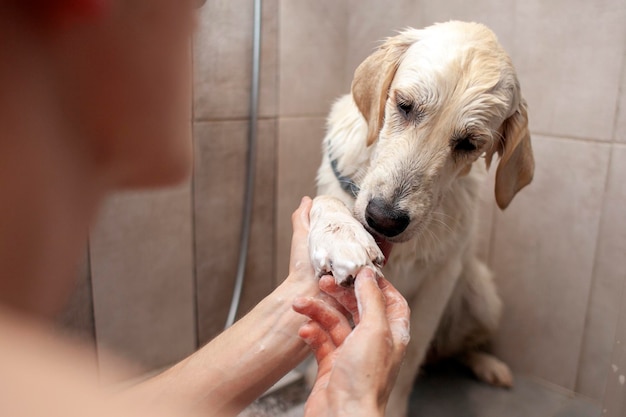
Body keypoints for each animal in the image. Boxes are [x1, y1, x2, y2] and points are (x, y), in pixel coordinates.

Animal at [308, 20, 532, 416]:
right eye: (405, 105)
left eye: (469, 143)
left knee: (457, 348)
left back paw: (488, 365)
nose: (383, 219)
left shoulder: (439, 281)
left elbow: (410, 358)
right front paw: (341, 236)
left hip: (482, 296)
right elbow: (328, 202)